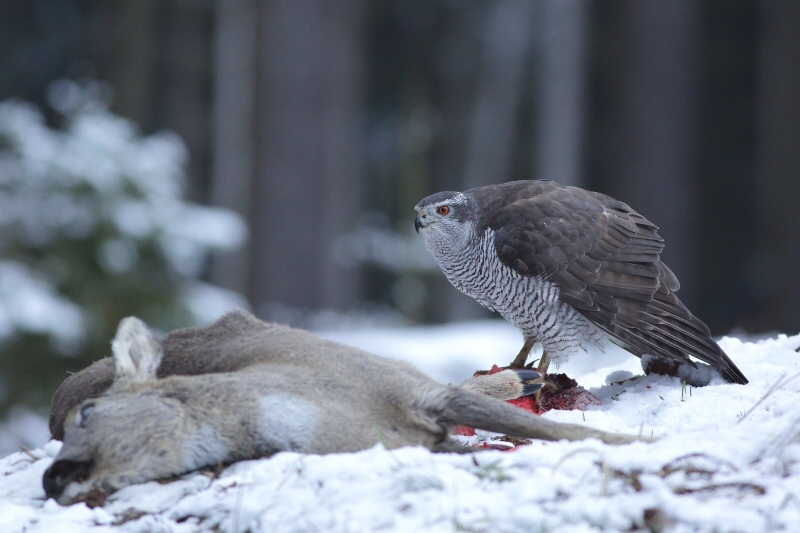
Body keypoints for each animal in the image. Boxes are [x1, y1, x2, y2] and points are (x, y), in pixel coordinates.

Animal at [42, 308, 644, 502]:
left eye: (89, 414)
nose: (53, 477)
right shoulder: (421, 439)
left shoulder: (413, 391)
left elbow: (579, 436)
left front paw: (646, 441)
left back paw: (525, 376)